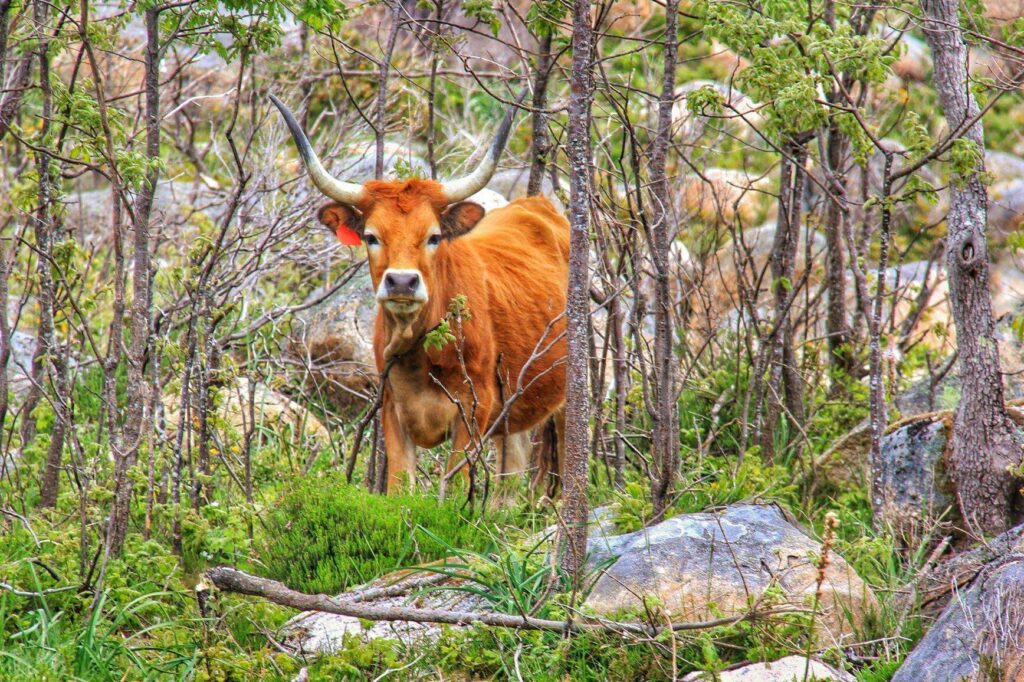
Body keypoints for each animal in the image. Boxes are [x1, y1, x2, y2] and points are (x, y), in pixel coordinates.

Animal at [270, 95, 569, 495]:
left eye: (433, 236)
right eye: (371, 236)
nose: (401, 281)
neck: (421, 354)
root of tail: (537, 206)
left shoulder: (474, 411)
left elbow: (455, 488)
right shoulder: (392, 409)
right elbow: (399, 488)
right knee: (510, 474)